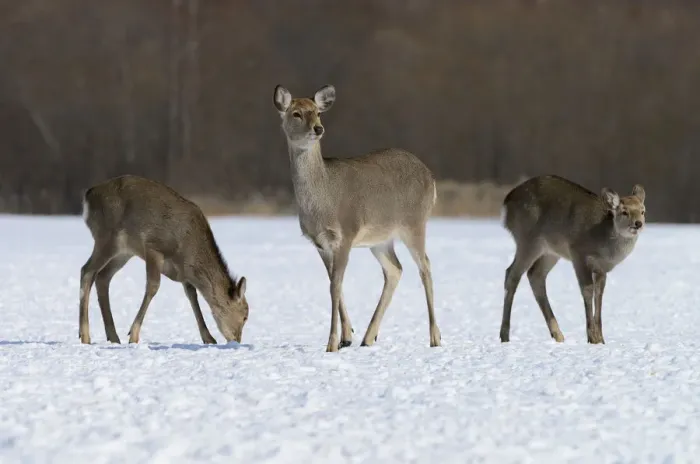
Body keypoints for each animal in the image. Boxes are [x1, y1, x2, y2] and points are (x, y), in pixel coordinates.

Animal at [78, 175, 249, 345]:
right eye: (245, 316)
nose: (237, 341)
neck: (187, 253)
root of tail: (88, 195)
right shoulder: (154, 247)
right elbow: (153, 286)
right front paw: (134, 335)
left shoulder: (183, 273)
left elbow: (192, 296)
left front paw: (209, 338)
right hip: (108, 236)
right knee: (87, 270)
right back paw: (85, 336)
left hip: (124, 252)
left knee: (102, 277)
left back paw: (113, 337)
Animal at [273, 84, 441, 352]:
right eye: (296, 113)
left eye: (318, 113)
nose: (318, 129)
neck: (322, 201)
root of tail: (431, 177)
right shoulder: (320, 243)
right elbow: (334, 283)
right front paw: (346, 336)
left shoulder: (346, 233)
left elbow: (334, 285)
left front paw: (331, 343)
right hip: (380, 239)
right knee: (395, 269)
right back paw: (368, 337)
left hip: (414, 223)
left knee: (425, 266)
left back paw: (435, 337)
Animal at [500, 174, 646, 344]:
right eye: (624, 212)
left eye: (643, 211)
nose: (638, 223)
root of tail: (507, 201)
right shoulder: (579, 255)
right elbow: (587, 291)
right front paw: (592, 337)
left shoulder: (601, 267)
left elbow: (599, 294)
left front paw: (601, 339)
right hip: (528, 239)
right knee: (512, 274)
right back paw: (504, 335)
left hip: (550, 251)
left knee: (535, 274)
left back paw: (557, 334)